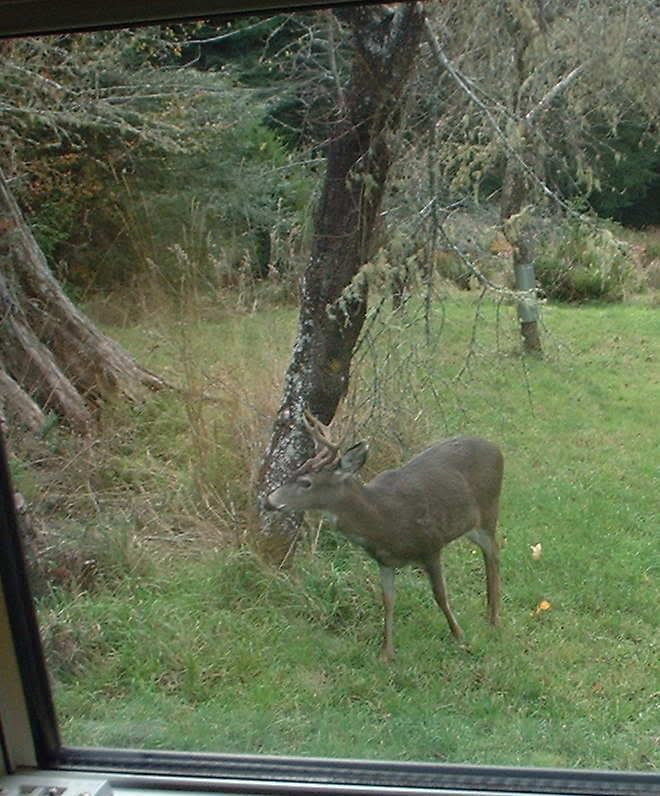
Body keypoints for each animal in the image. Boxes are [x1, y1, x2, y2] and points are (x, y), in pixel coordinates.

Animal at [266, 410, 504, 661]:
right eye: (294, 471)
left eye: (306, 483)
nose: (268, 501)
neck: (384, 520)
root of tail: (496, 448)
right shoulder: (384, 561)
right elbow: (388, 601)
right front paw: (386, 652)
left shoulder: (432, 544)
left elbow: (440, 595)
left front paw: (459, 635)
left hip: (488, 511)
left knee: (493, 554)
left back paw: (494, 618)